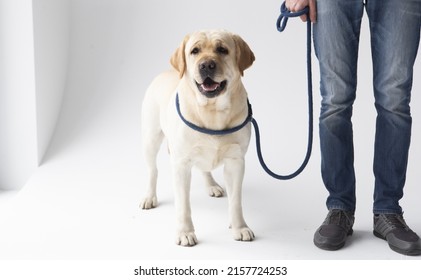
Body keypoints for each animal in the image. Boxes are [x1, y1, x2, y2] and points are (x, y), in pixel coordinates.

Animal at [140, 29, 253, 246]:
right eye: (195, 51)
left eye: (222, 49)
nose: (206, 65)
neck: (212, 111)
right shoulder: (181, 164)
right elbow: (183, 205)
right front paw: (185, 232)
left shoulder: (236, 161)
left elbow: (236, 201)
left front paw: (239, 227)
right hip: (150, 138)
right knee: (152, 170)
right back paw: (149, 196)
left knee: (204, 167)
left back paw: (212, 185)